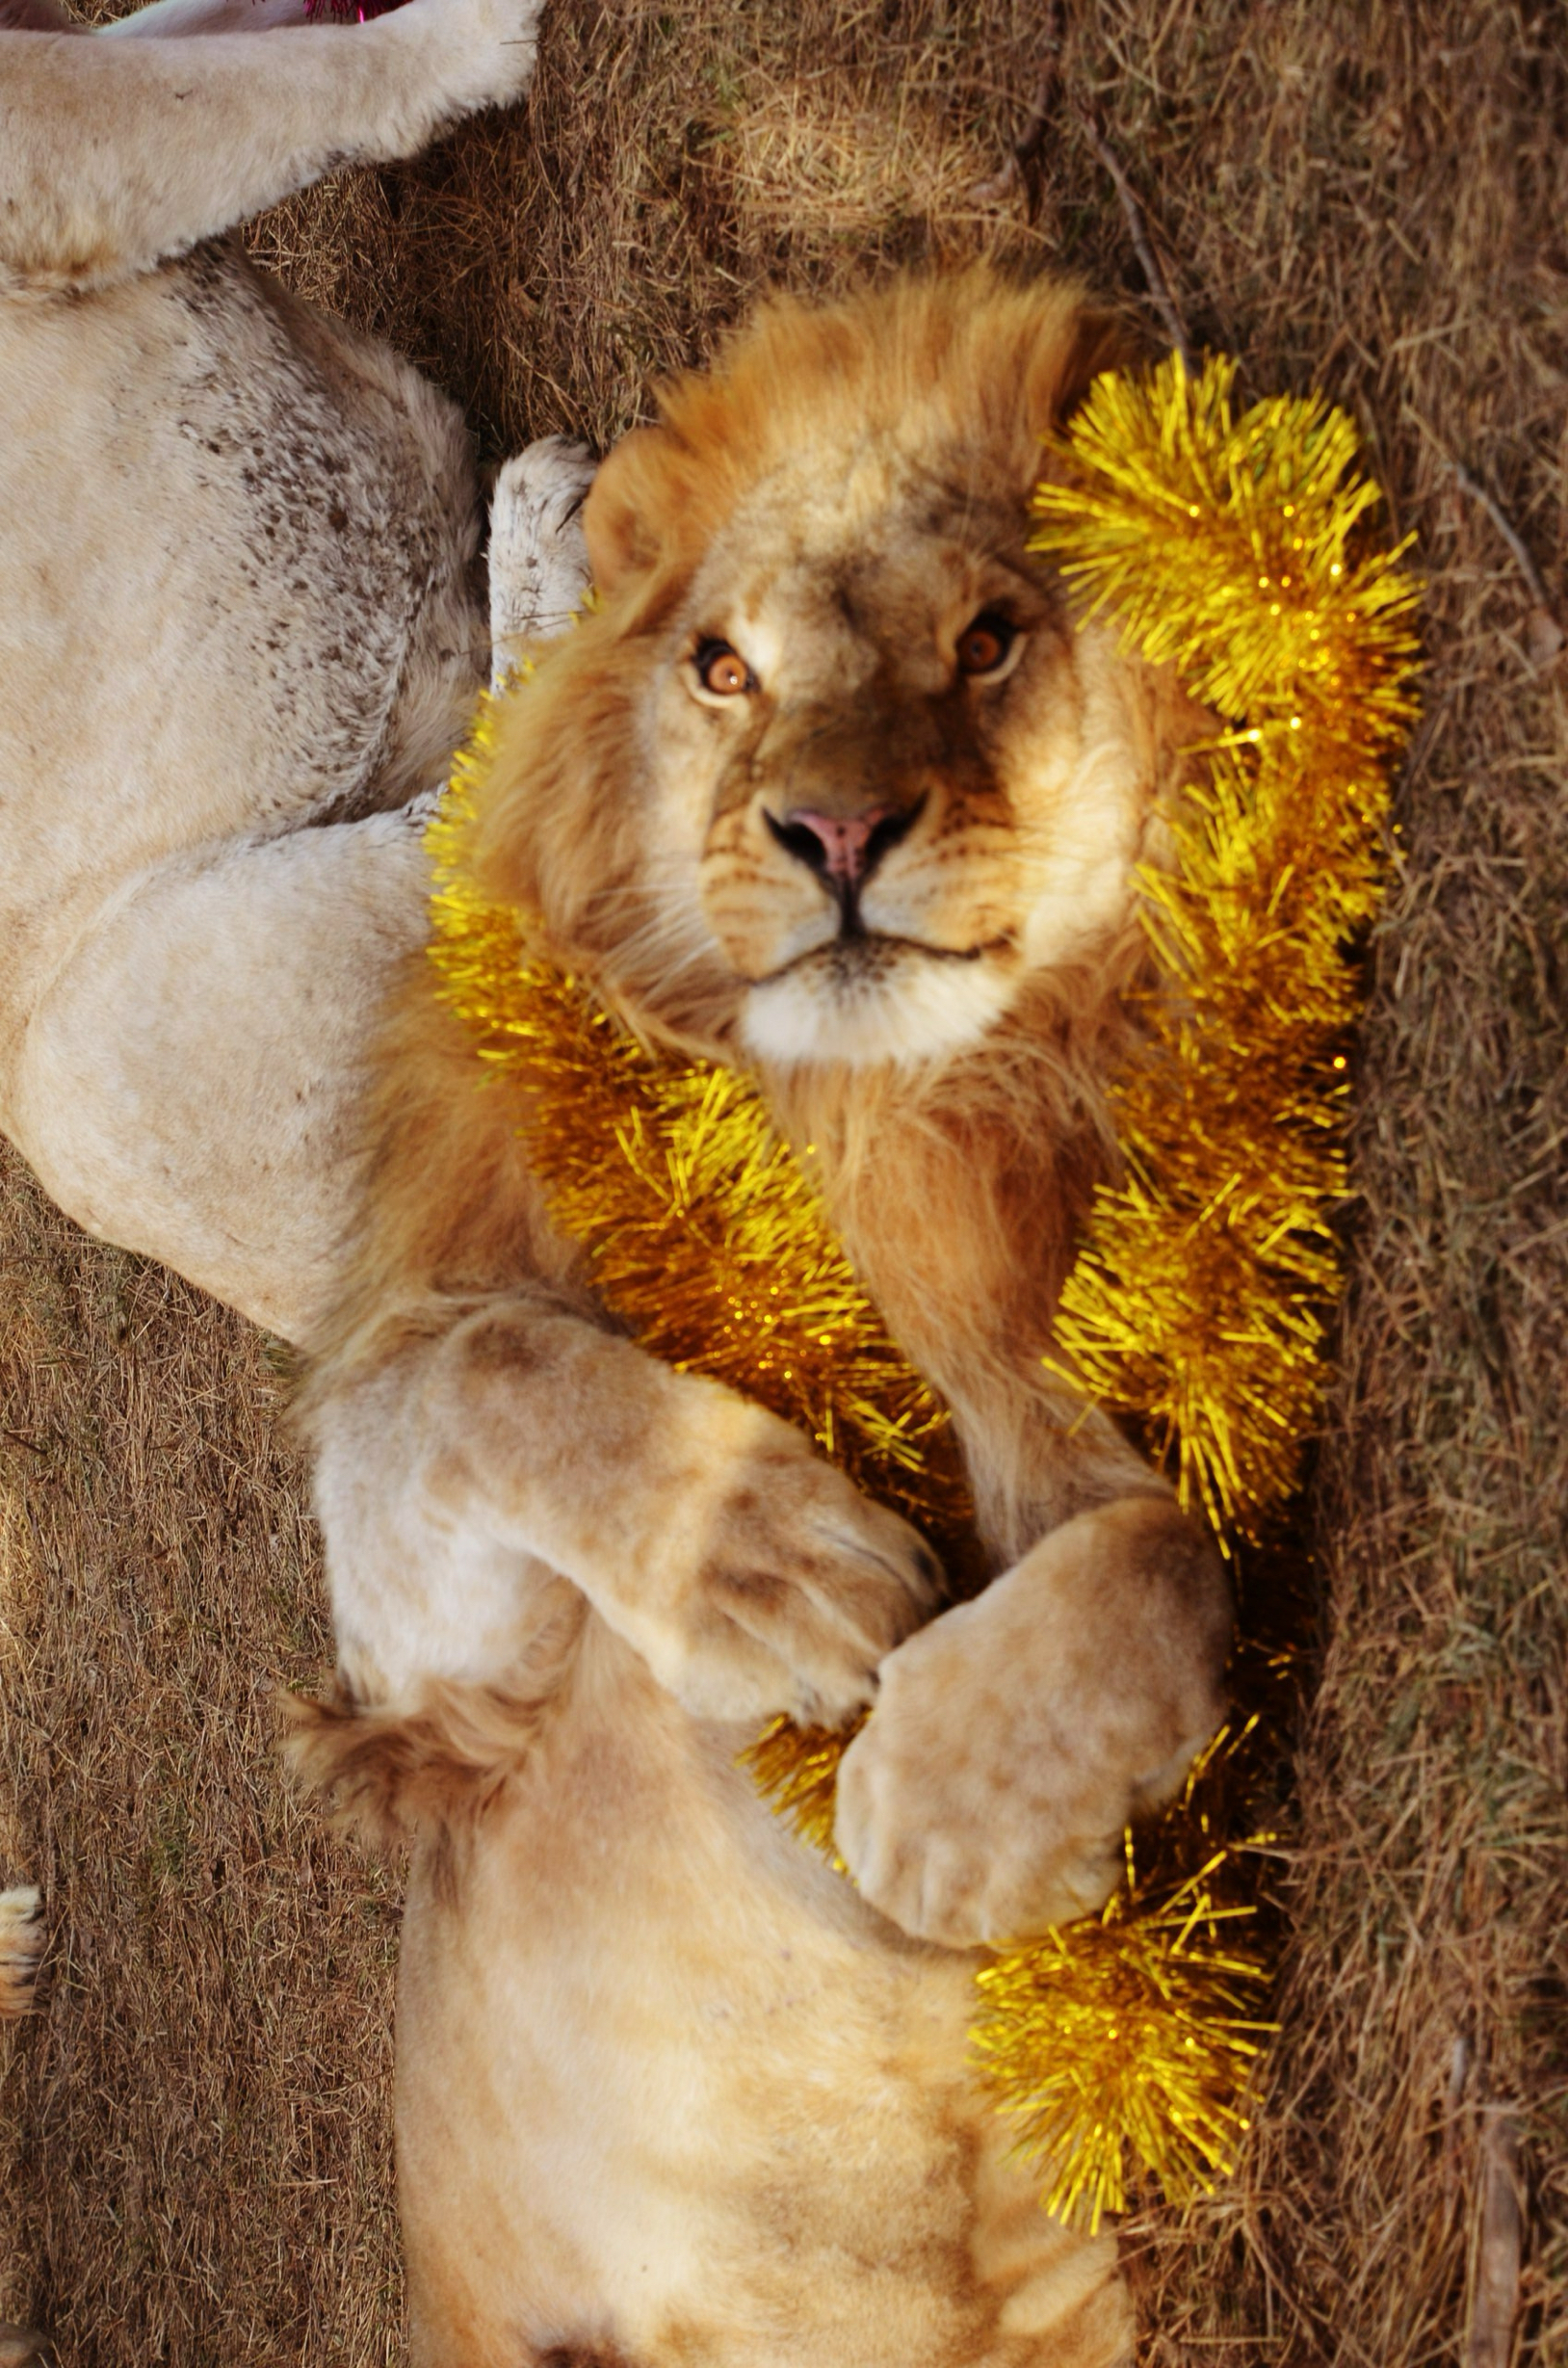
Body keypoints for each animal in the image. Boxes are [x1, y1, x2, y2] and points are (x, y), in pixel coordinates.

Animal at [301, 272, 1241, 2368]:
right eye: (723, 671)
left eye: (985, 642)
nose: (832, 829)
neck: (868, 1118)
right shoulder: (445, 1700)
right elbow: (474, 1361)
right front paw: (777, 1570)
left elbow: (1163, 1557)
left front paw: (931, 1810)